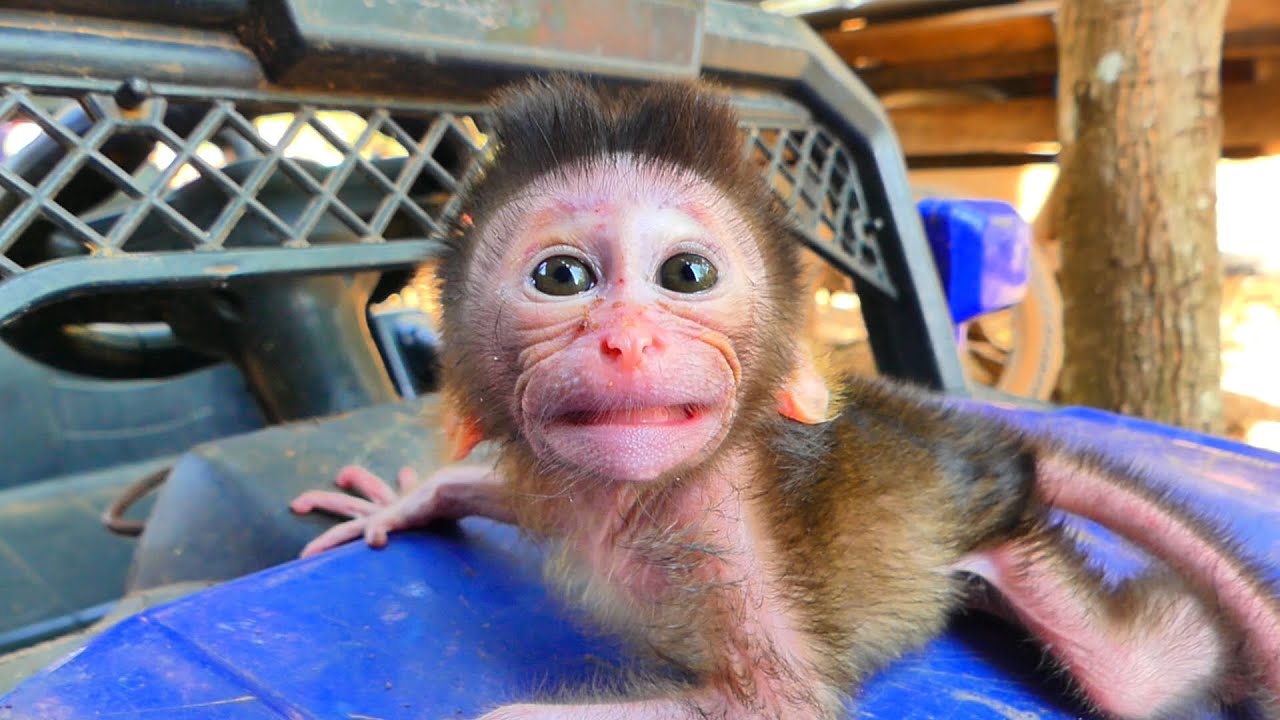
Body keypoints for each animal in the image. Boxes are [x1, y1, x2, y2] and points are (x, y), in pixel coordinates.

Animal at [289, 75, 1280, 720]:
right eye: (560, 277)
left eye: (686, 275)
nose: (629, 339)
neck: (625, 505)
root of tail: (964, 435)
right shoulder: (551, 483)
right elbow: (484, 482)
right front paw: (397, 503)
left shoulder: (728, 519)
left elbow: (778, 701)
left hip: (1011, 531)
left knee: (1140, 675)